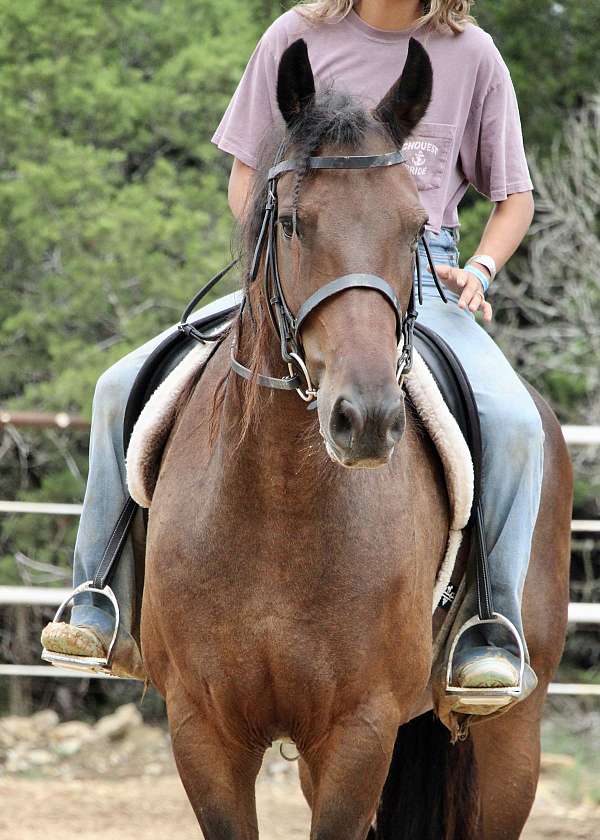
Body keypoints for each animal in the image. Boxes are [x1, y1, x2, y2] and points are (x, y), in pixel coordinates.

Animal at [142, 37, 572, 832]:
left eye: (412, 227)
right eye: (290, 223)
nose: (366, 418)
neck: (278, 500)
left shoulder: (359, 735)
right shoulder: (203, 733)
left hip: (511, 744)